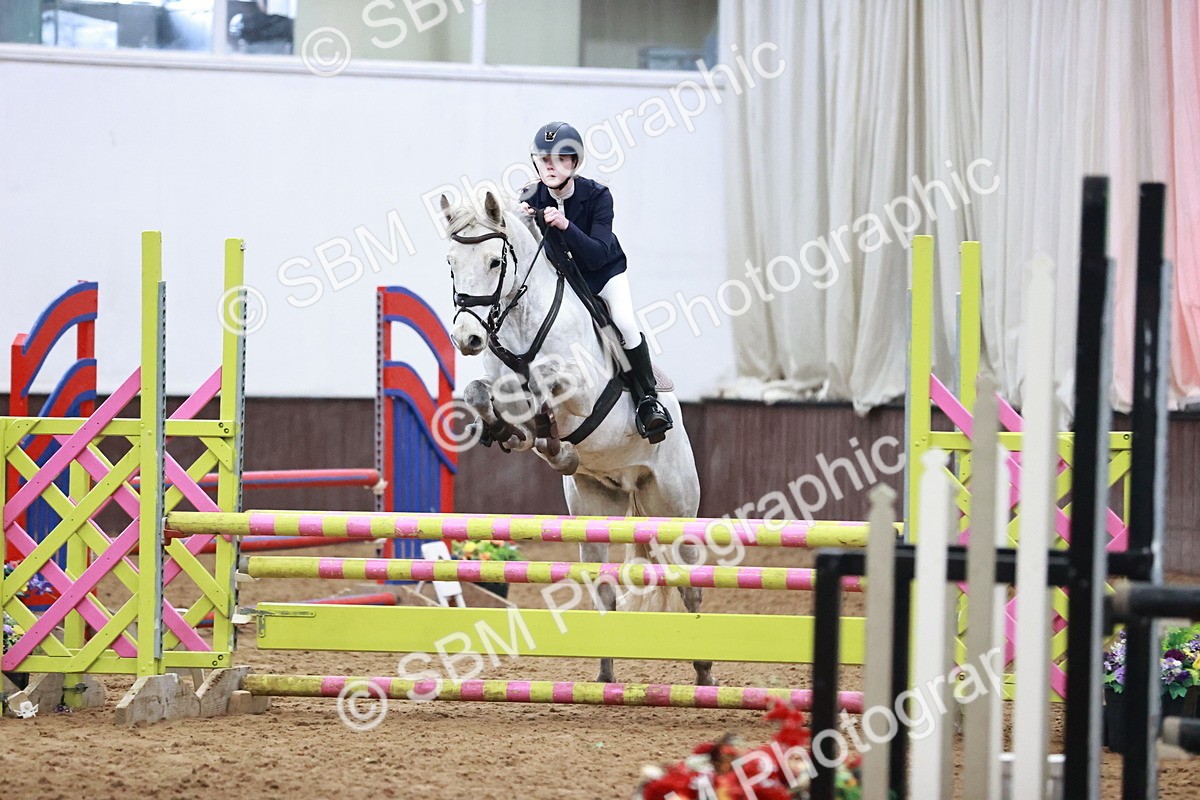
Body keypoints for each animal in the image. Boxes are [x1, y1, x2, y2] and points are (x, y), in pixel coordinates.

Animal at [440, 191, 712, 686]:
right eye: (451, 263)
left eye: (494, 261)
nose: (466, 337)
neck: (520, 322)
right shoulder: (496, 383)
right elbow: (482, 394)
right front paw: (511, 433)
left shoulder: (581, 387)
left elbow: (544, 383)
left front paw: (546, 439)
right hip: (595, 508)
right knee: (604, 589)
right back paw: (604, 677)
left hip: (674, 510)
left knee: (690, 588)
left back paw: (704, 675)